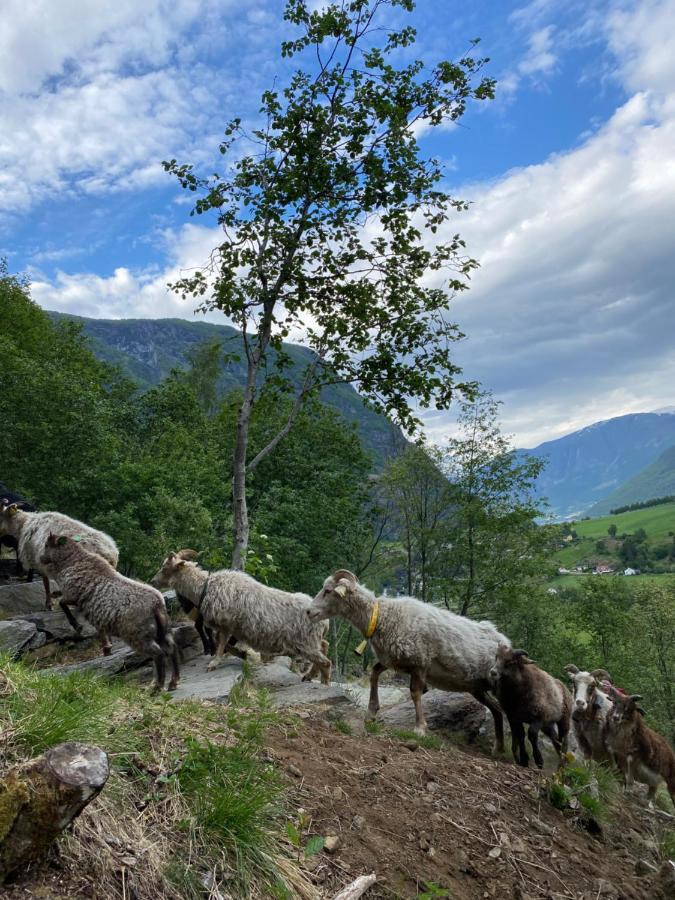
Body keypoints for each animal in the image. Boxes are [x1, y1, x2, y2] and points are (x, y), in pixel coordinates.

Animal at [38, 536, 178, 696]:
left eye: (47, 545)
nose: (40, 558)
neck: (72, 559)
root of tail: (157, 604)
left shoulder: (72, 594)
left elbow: (62, 603)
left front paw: (77, 625)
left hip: (138, 634)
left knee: (159, 653)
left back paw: (157, 687)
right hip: (163, 630)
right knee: (172, 648)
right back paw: (173, 682)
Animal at [149, 548, 332, 684]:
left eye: (165, 568)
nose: (152, 581)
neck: (204, 588)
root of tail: (325, 621)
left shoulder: (227, 624)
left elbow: (221, 643)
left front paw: (215, 662)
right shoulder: (233, 628)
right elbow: (224, 644)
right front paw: (241, 655)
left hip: (305, 641)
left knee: (326, 661)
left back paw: (324, 682)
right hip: (309, 640)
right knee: (324, 646)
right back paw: (310, 675)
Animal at [308, 568, 510, 748]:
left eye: (328, 591)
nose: (309, 612)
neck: (382, 616)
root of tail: (504, 640)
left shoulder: (420, 663)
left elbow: (415, 693)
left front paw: (420, 728)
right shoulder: (394, 660)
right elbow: (374, 673)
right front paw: (371, 712)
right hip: (477, 688)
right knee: (497, 710)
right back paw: (498, 747)